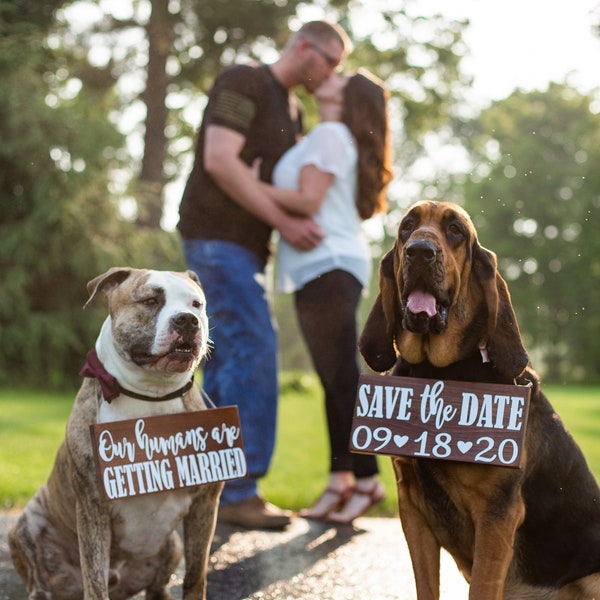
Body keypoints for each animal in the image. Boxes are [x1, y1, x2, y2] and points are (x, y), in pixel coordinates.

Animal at [8, 268, 224, 600]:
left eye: (196, 304)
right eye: (150, 300)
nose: (188, 320)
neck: (152, 394)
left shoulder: (205, 503)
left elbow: (195, 574)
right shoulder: (92, 507)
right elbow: (94, 580)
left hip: (172, 544)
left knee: (157, 585)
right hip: (25, 527)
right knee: (41, 581)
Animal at [358, 203, 600, 600]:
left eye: (455, 230)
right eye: (407, 227)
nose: (420, 252)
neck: (435, 373)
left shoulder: (496, 516)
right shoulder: (412, 508)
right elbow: (426, 586)